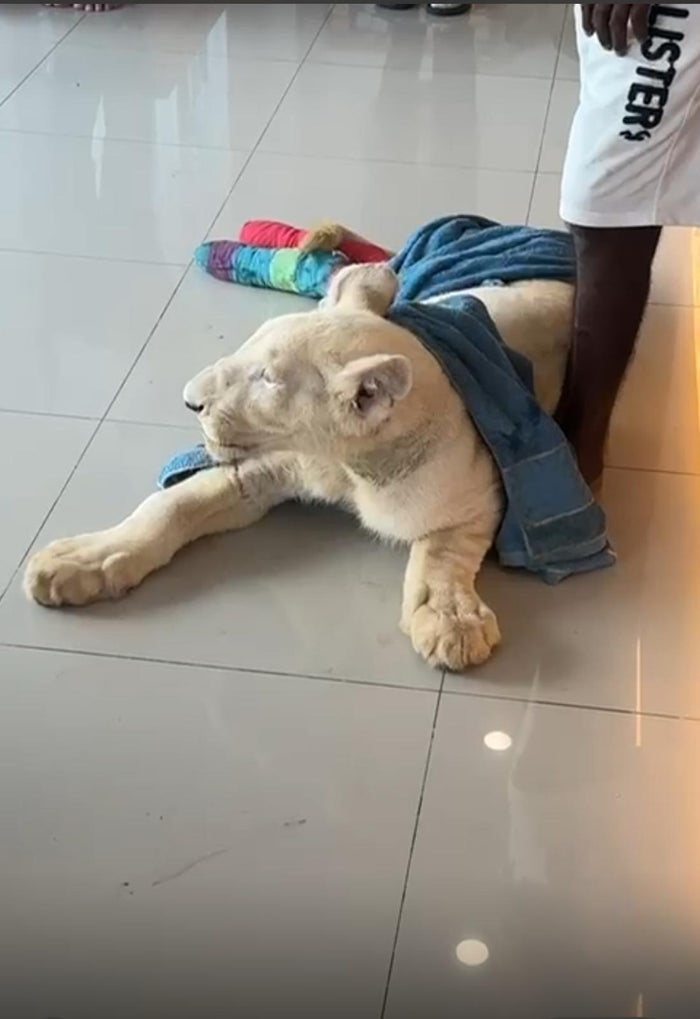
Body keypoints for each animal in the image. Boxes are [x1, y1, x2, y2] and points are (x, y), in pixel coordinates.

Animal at [23, 264, 573, 672]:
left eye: (268, 379)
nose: (190, 400)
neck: (344, 466)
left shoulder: (480, 493)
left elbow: (442, 554)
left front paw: (451, 620)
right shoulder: (260, 473)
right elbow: (170, 506)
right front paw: (80, 561)